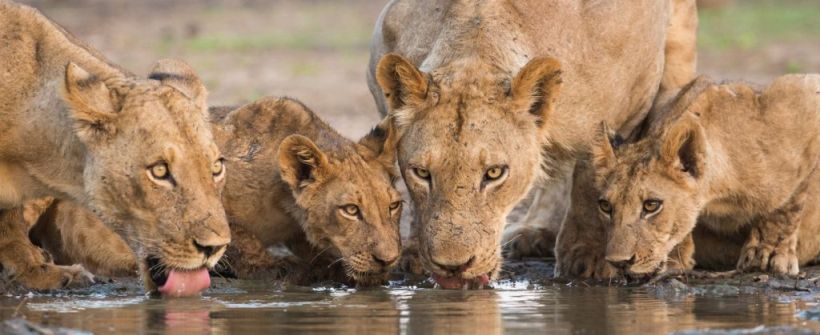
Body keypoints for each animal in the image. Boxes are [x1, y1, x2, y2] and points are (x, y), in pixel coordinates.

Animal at [27, 97, 406, 286]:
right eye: (351, 210)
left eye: (394, 207)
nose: (388, 259)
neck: (284, 204)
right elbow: (244, 243)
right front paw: (285, 268)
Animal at [368, 0, 696, 288]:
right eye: (422, 173)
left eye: (494, 173)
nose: (453, 267)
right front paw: (413, 251)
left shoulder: (629, 107)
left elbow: (590, 179)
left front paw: (589, 254)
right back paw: (537, 230)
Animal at [560, 75, 820, 278]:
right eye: (605, 206)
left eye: (651, 205)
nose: (618, 262)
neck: (718, 195)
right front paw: (679, 255)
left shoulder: (803, 94)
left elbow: (789, 203)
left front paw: (767, 252)